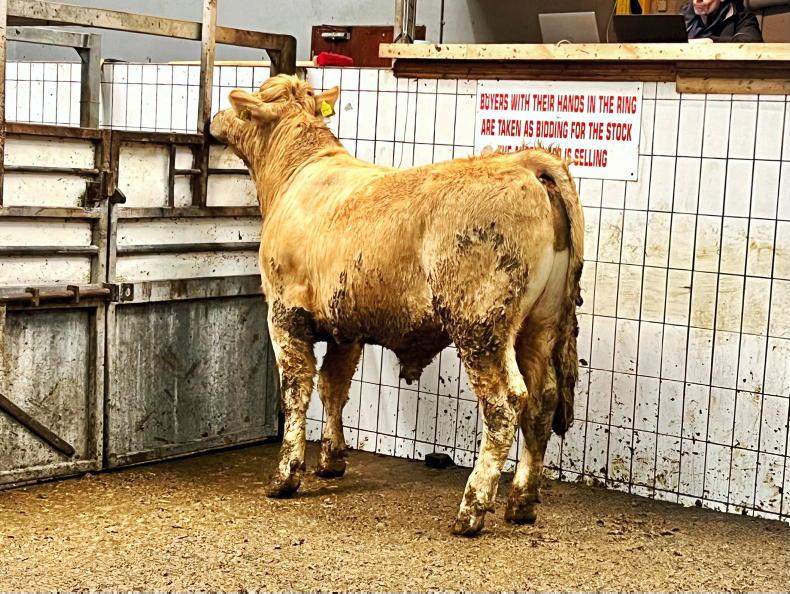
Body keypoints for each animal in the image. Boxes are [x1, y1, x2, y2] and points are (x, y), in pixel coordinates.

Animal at [210, 74, 584, 536]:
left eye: (243, 108)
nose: (214, 118)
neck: (297, 173)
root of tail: (521, 163)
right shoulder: (345, 324)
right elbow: (334, 386)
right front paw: (332, 459)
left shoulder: (284, 312)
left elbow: (296, 389)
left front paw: (286, 475)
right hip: (539, 324)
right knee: (542, 400)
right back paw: (522, 502)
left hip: (481, 324)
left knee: (506, 403)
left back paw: (472, 508)